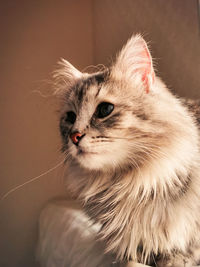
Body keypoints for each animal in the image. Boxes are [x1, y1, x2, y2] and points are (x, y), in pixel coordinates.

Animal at [52, 34, 200, 266]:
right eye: (70, 117)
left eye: (104, 109)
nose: (74, 136)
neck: (128, 186)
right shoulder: (128, 250)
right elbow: (130, 260)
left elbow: (179, 255)